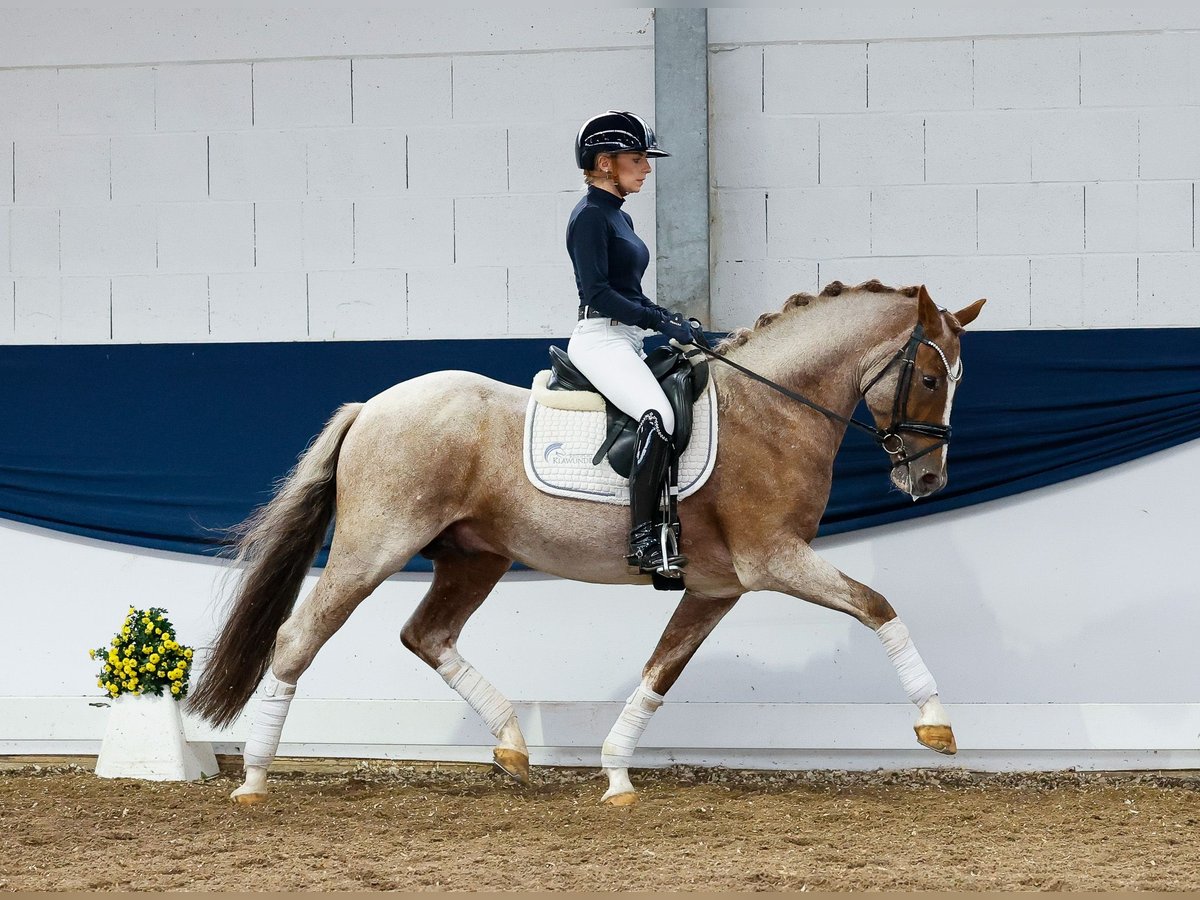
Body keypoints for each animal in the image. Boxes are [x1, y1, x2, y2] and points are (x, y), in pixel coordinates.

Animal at [192, 280, 984, 801]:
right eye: (928, 375)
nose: (929, 479)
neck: (771, 407)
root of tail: (373, 406)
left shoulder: (717, 586)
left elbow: (661, 671)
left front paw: (616, 771)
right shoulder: (774, 560)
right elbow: (878, 605)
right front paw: (936, 725)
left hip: (476, 556)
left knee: (427, 635)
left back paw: (512, 747)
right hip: (373, 548)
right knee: (298, 638)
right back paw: (255, 779)